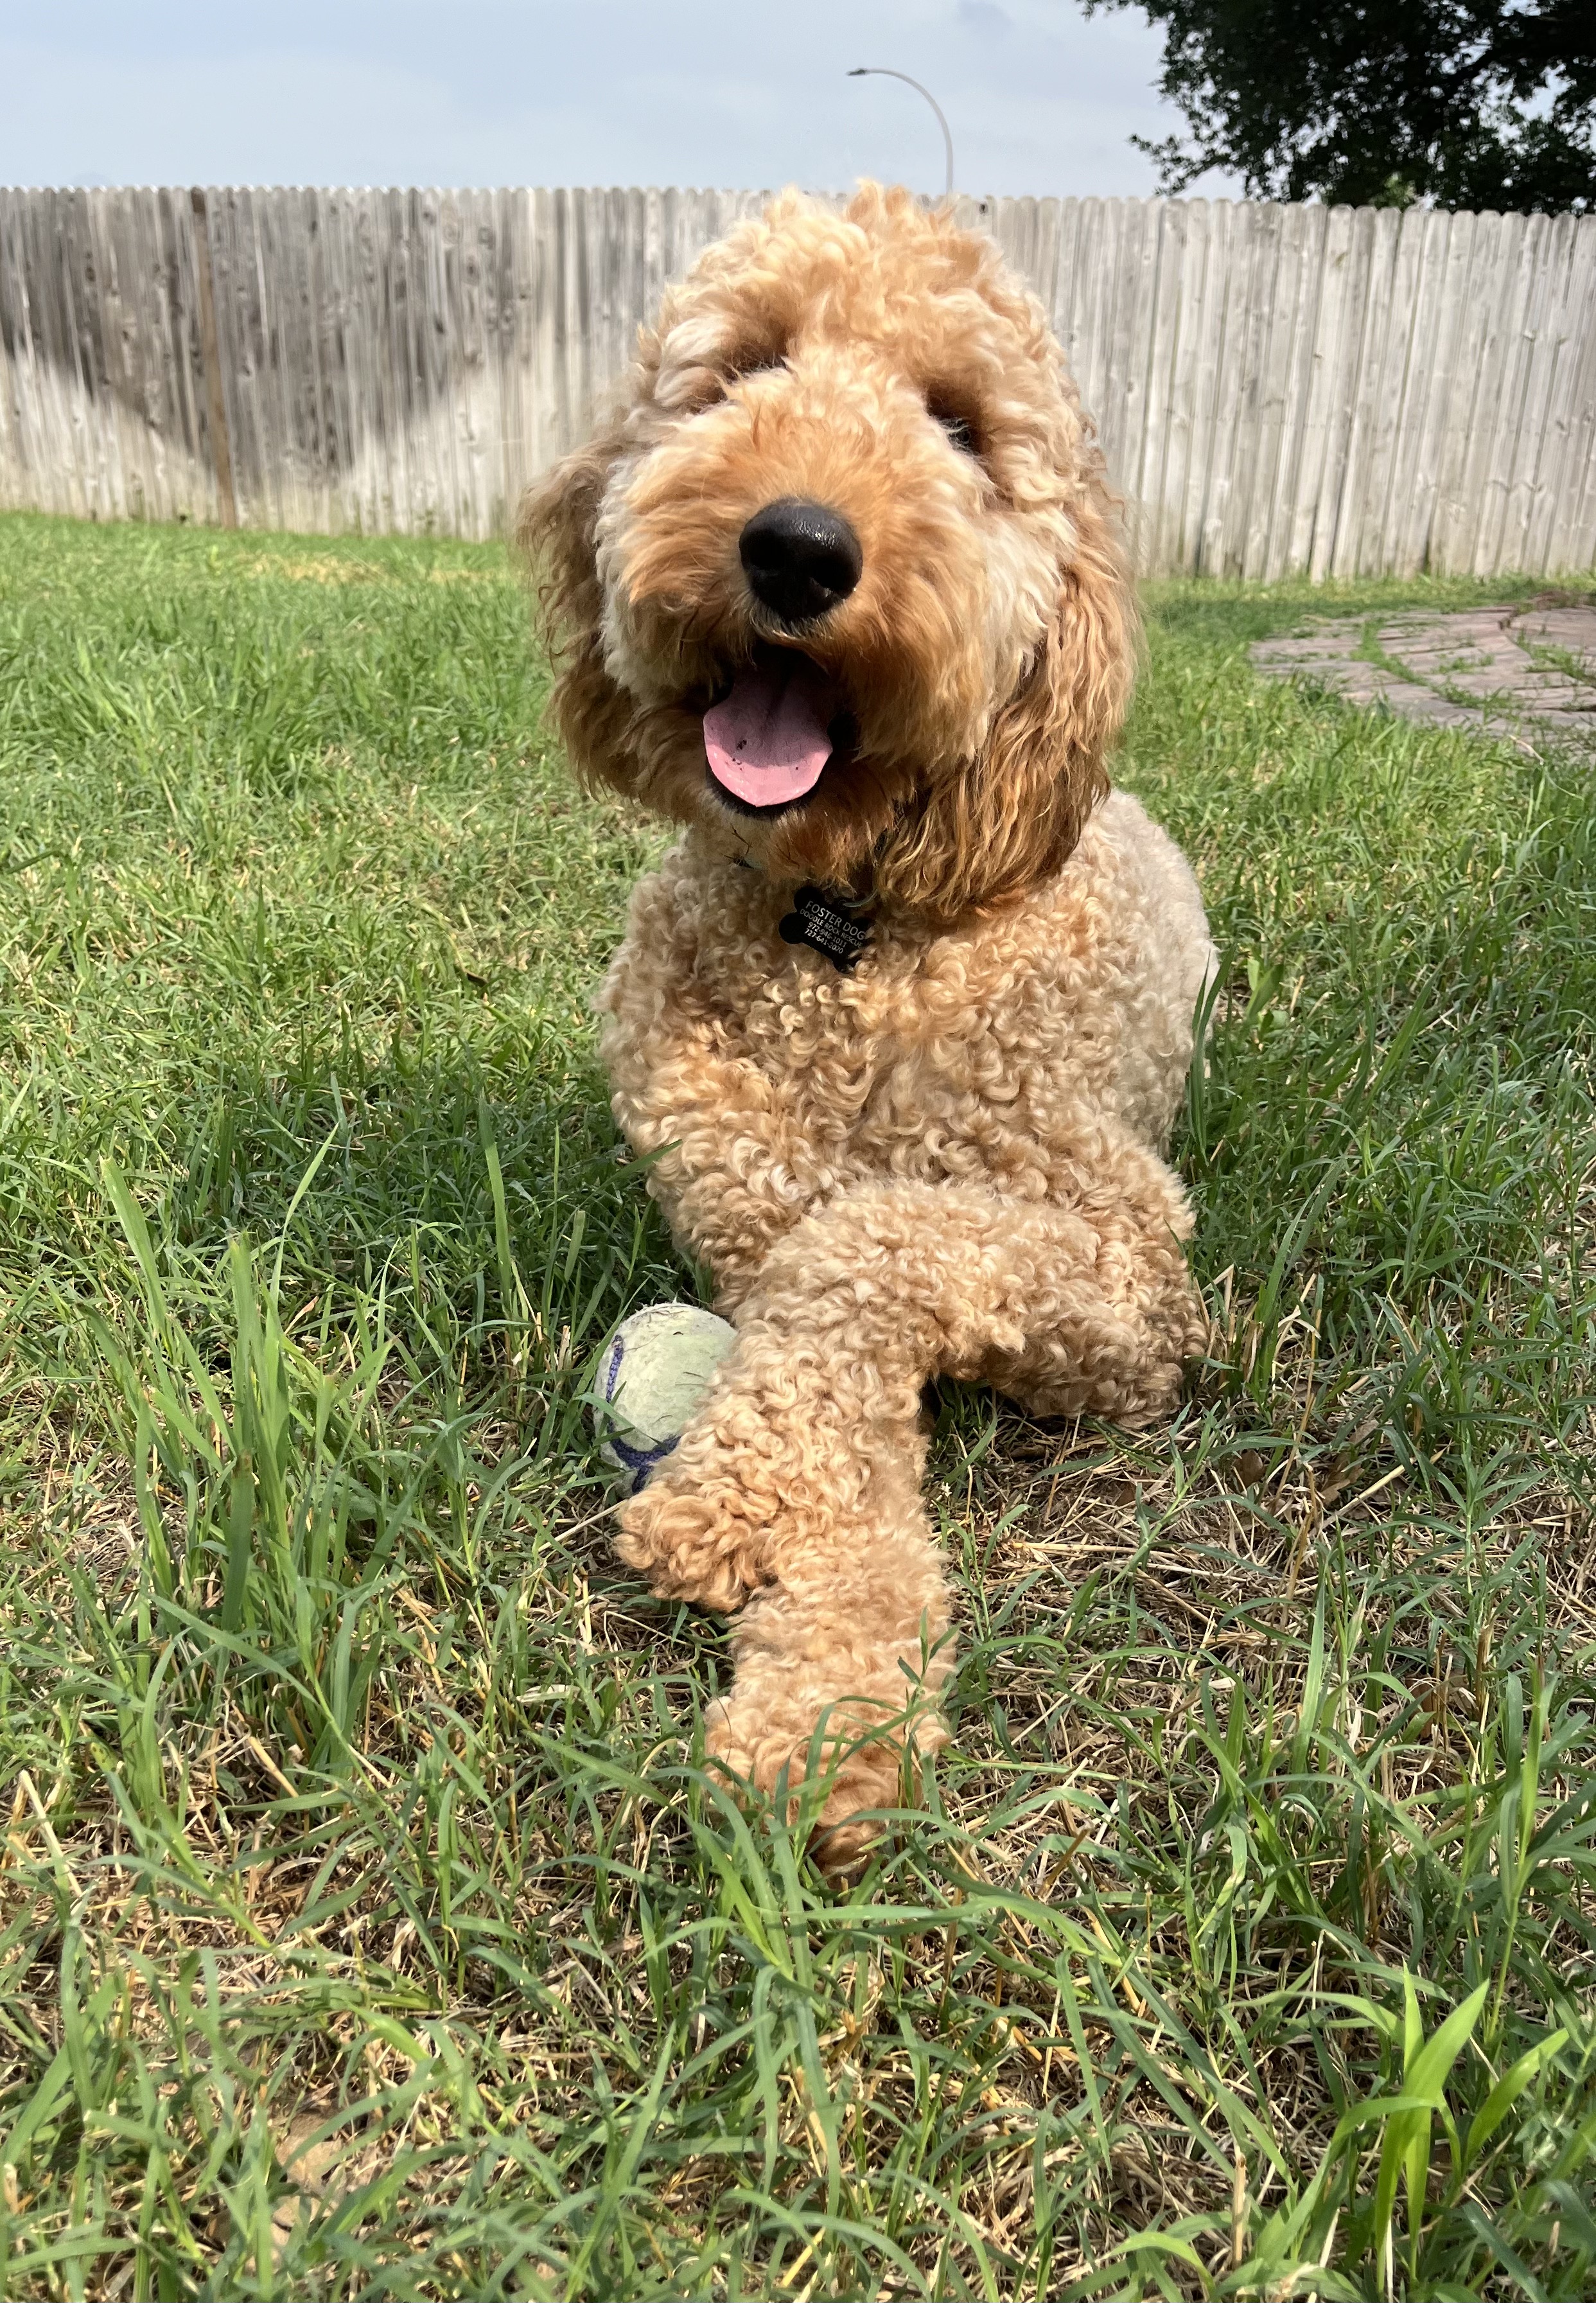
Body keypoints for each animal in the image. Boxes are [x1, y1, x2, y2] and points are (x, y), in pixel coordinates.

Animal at [520, 183, 1213, 1868]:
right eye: (743, 366)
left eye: (958, 422)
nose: (797, 545)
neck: (845, 937)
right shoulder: (735, 1212)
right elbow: (851, 1455)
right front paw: (825, 1686)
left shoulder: (1135, 1290)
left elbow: (883, 1234)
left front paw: (735, 1514)